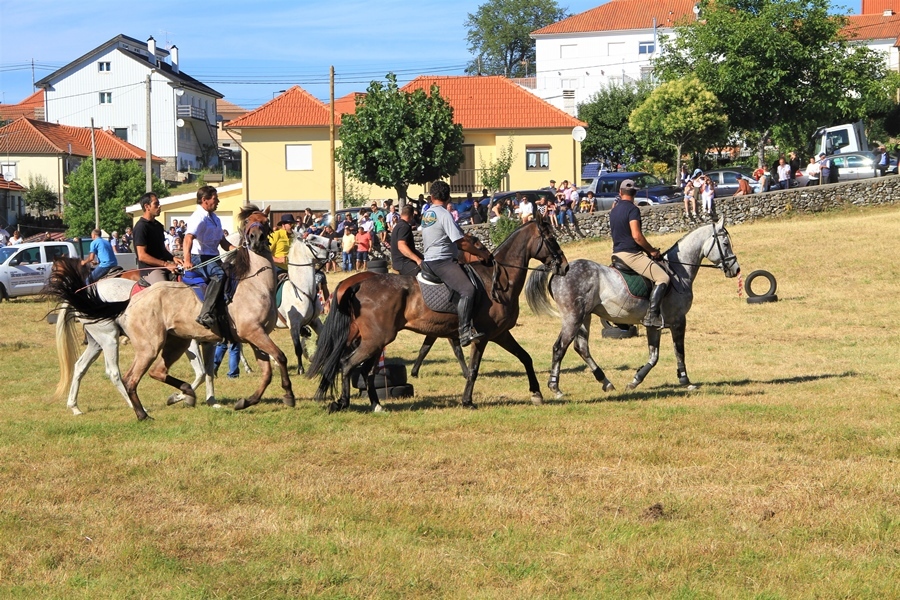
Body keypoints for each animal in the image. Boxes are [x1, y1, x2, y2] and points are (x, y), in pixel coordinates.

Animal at [51, 258, 210, 418]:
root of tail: (82, 293)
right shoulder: (189, 340)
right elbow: (201, 373)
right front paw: (179, 397)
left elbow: (202, 373)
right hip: (109, 339)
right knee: (114, 373)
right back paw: (138, 407)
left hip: (96, 342)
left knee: (80, 366)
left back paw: (74, 407)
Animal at [306, 220, 568, 412]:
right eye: (551, 239)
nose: (564, 266)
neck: (496, 280)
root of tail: (357, 285)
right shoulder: (482, 337)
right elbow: (473, 368)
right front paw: (467, 401)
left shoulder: (501, 334)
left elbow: (525, 357)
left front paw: (537, 393)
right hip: (376, 339)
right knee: (347, 364)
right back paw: (343, 402)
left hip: (371, 339)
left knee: (359, 368)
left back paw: (375, 404)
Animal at [528, 216, 740, 394]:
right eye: (726, 244)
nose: (736, 269)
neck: (679, 271)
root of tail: (559, 270)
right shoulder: (679, 320)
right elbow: (679, 351)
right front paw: (685, 381)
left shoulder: (654, 325)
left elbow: (654, 356)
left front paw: (635, 380)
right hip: (573, 317)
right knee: (559, 347)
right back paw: (555, 387)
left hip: (584, 317)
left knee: (581, 348)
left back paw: (606, 382)